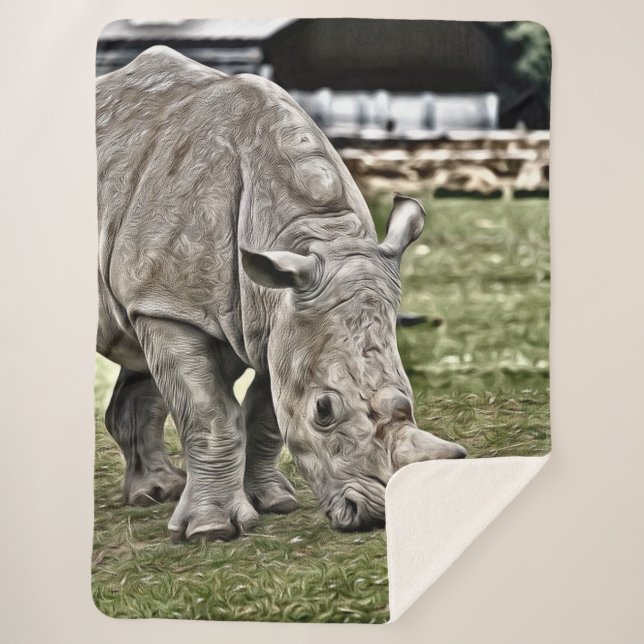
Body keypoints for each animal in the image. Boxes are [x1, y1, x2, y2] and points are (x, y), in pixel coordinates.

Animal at [96, 46, 466, 542]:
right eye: (324, 410)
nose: (373, 516)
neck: (314, 234)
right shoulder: (171, 305)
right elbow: (211, 413)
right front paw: (211, 531)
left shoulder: (273, 312)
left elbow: (266, 412)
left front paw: (274, 503)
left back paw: (156, 493)